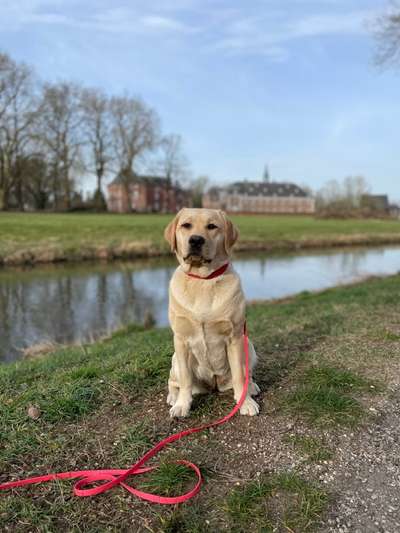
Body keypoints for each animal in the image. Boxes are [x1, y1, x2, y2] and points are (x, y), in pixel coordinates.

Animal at [164, 206, 260, 418]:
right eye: (186, 225)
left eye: (212, 226)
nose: (196, 240)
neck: (203, 280)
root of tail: (214, 384)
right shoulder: (180, 340)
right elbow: (185, 380)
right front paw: (182, 405)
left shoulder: (234, 337)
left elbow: (240, 376)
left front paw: (245, 403)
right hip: (175, 359)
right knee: (173, 381)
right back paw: (173, 397)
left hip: (248, 345)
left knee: (246, 375)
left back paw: (251, 387)